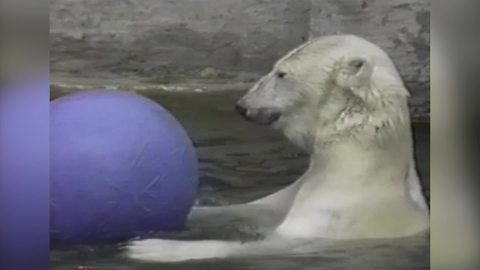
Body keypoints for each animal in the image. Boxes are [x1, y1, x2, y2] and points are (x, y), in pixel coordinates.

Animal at [125, 34, 430, 262]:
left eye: (282, 73)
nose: (242, 106)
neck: (360, 164)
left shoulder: (337, 218)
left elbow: (273, 242)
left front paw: (152, 248)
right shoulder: (297, 191)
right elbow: (256, 208)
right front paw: (198, 207)